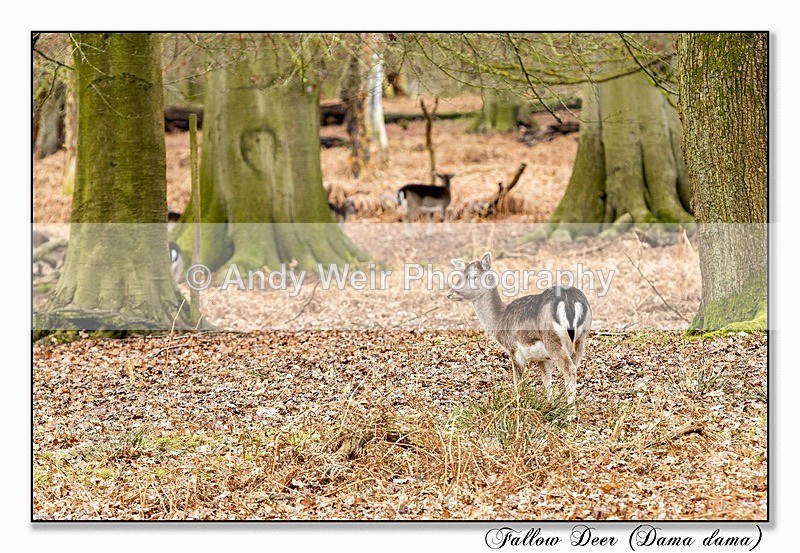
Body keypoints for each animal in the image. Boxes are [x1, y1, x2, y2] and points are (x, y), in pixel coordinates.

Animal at [447, 252, 591, 410]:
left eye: (473, 276)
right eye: (460, 274)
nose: (450, 293)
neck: (499, 320)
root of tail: (570, 303)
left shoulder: (514, 350)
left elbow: (518, 382)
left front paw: (518, 407)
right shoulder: (543, 358)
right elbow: (547, 381)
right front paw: (549, 407)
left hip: (552, 339)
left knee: (568, 369)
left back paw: (570, 413)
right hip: (580, 339)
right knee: (575, 367)